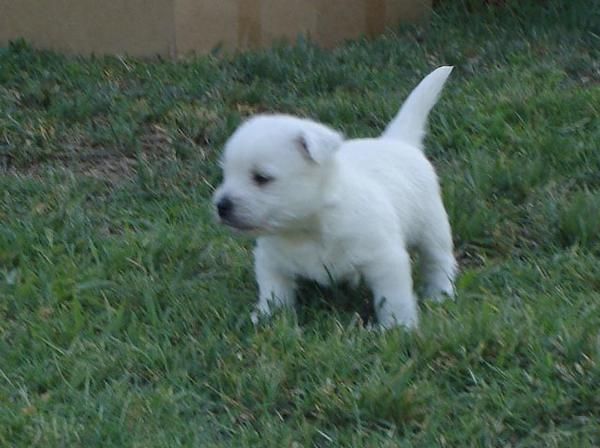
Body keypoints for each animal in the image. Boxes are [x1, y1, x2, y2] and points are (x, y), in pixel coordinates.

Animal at [213, 66, 458, 328]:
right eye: (226, 173)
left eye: (261, 178)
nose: (221, 206)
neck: (308, 228)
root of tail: (398, 141)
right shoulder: (271, 261)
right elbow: (274, 292)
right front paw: (265, 317)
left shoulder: (385, 259)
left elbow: (394, 299)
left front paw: (397, 327)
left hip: (433, 227)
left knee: (438, 261)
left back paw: (439, 294)